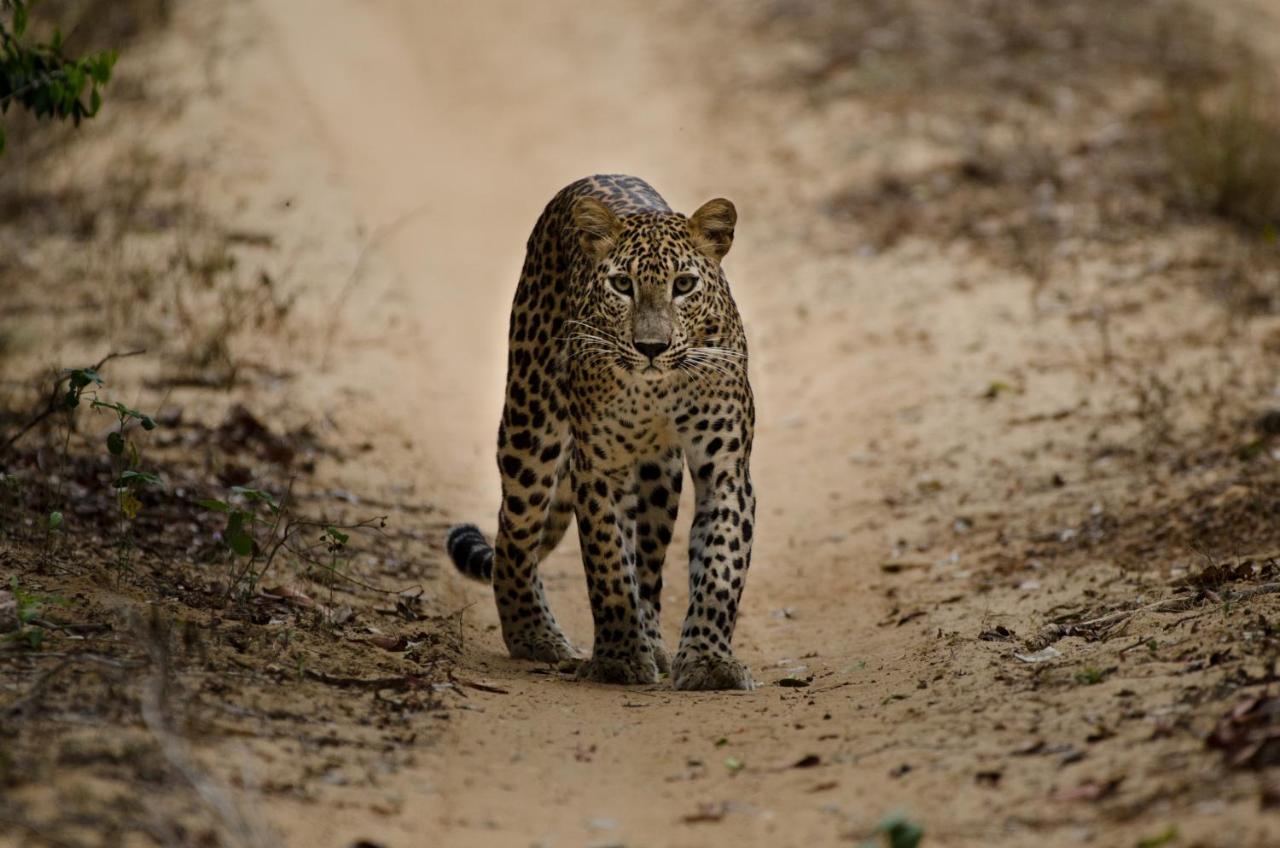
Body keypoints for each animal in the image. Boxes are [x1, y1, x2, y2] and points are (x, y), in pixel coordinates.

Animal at [445, 172, 752, 691]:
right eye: (622, 284)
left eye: (684, 285)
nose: (651, 346)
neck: (658, 387)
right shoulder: (596, 465)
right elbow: (608, 564)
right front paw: (618, 659)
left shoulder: (726, 465)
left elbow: (719, 565)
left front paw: (708, 661)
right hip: (532, 424)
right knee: (514, 533)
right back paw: (535, 636)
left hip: (661, 476)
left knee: (647, 565)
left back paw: (653, 641)